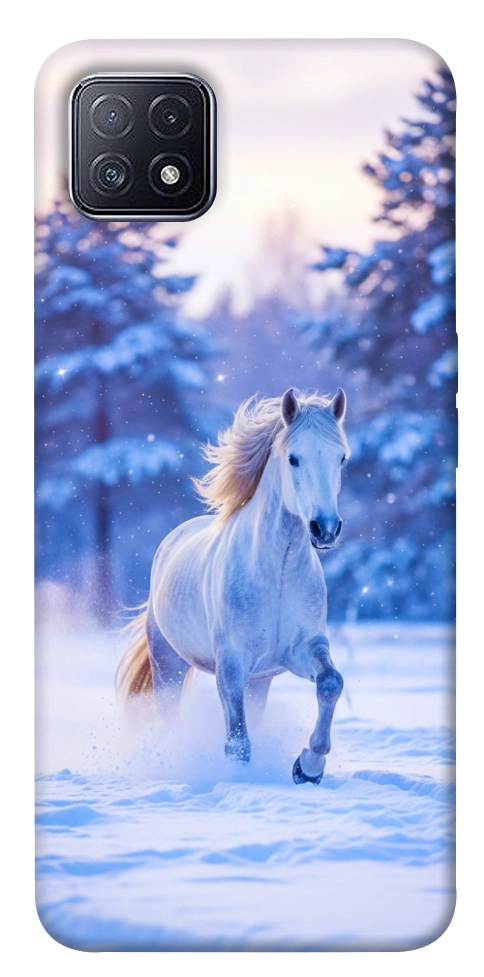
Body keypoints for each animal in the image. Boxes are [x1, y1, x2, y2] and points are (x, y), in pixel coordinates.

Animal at [118, 387, 350, 784]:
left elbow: (331, 683)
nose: (325, 529)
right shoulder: (231, 664)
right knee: (170, 717)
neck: (277, 573)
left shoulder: (301, 649)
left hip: (259, 682)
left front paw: (308, 767)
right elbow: (237, 742)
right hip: (168, 665)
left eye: (341, 459)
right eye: (294, 458)